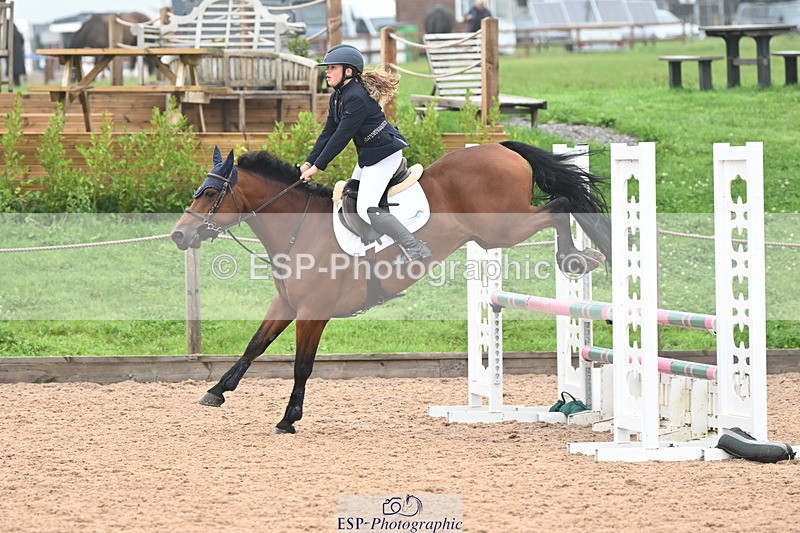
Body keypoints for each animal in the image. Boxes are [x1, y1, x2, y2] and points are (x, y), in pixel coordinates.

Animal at [170, 141, 612, 434]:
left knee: (560, 207)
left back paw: (579, 257)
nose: (178, 235)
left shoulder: (314, 312)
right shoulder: (286, 304)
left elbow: (302, 365)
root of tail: (500, 147)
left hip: (502, 228)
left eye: (211, 193)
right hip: (493, 234)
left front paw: (288, 419)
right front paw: (217, 390)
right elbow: (254, 346)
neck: (299, 230)